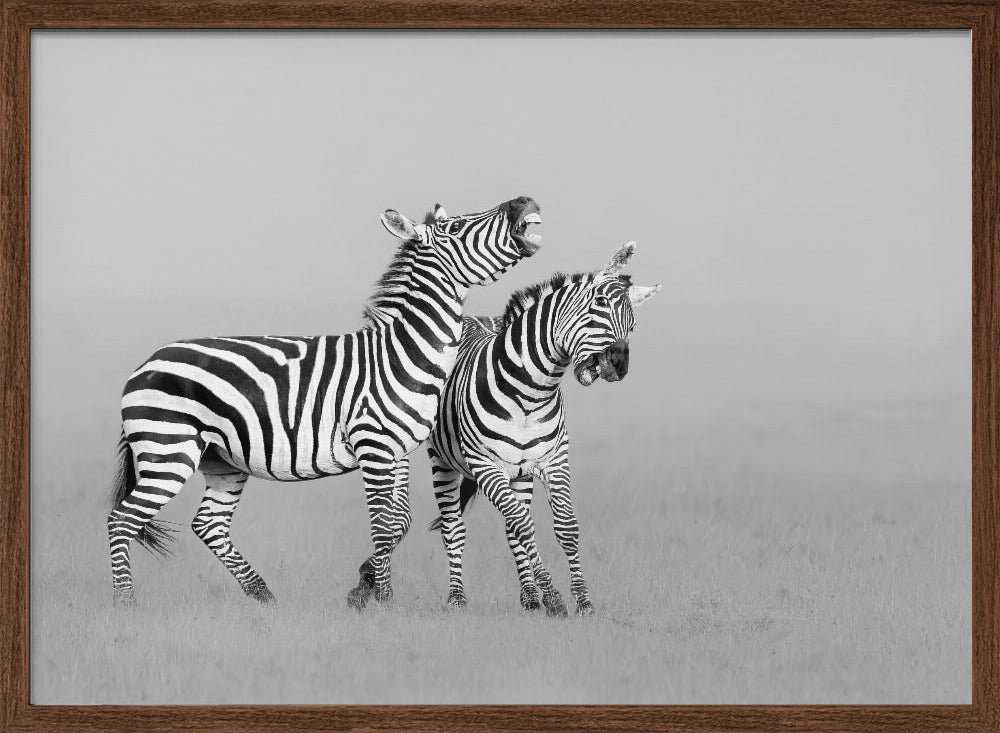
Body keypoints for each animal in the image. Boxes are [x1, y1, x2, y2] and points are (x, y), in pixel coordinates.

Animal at [107, 195, 543, 609]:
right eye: (456, 227)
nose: (523, 201)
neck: (403, 352)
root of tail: (144, 365)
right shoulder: (374, 445)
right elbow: (383, 523)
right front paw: (383, 599)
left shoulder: (398, 451)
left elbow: (399, 520)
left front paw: (366, 584)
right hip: (169, 451)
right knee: (121, 520)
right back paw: (126, 603)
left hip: (221, 460)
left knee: (208, 524)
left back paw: (263, 595)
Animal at [352, 241, 660, 616]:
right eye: (594, 309)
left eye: (632, 324)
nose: (619, 363)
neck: (530, 393)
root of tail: (468, 318)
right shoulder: (486, 466)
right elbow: (524, 526)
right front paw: (555, 598)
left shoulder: (553, 461)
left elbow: (564, 527)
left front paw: (581, 601)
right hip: (443, 461)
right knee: (454, 528)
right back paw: (456, 597)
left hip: (520, 472)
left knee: (512, 527)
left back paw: (528, 596)